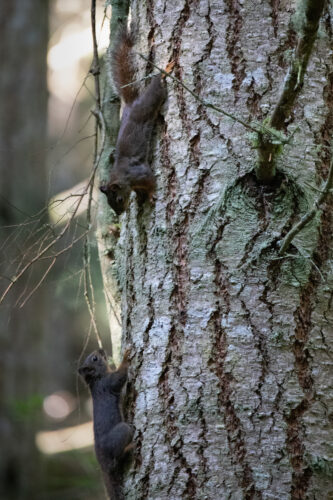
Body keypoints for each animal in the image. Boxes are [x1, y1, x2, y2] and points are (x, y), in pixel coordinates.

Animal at [78, 348, 133, 500]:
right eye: (95, 358)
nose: (101, 349)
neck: (97, 379)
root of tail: (103, 465)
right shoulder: (108, 383)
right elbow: (120, 376)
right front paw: (125, 357)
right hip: (122, 431)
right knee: (116, 460)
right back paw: (130, 448)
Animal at [98, 24, 169, 215]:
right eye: (109, 203)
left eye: (119, 199)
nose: (119, 213)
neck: (124, 178)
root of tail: (131, 103)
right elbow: (140, 191)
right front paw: (140, 198)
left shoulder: (140, 173)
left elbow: (151, 182)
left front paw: (151, 195)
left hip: (150, 100)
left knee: (157, 87)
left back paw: (165, 71)